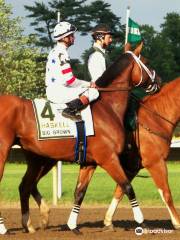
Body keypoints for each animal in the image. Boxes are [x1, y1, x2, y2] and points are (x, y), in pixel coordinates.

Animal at [0, 43, 158, 234]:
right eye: (146, 62)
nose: (158, 81)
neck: (107, 107)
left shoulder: (89, 162)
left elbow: (80, 192)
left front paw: (72, 225)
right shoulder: (108, 158)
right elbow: (127, 186)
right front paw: (141, 221)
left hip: (38, 159)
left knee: (25, 186)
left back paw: (30, 224)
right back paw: (5, 228)